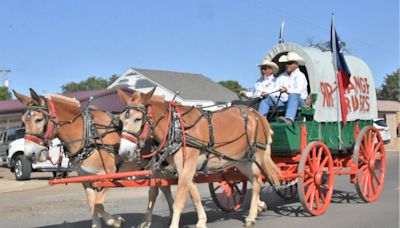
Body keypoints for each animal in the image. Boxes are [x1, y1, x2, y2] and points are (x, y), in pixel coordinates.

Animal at [13, 89, 173, 228]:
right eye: (23, 121)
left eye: (39, 119)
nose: (29, 153)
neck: (88, 136)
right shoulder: (85, 177)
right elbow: (92, 204)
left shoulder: (108, 175)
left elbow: (98, 204)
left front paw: (116, 221)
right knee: (164, 187)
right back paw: (171, 214)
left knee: (154, 192)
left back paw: (147, 222)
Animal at [116, 88, 282, 227]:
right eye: (121, 120)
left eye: (138, 119)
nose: (124, 153)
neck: (177, 127)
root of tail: (259, 116)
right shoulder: (183, 169)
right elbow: (192, 194)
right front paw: (202, 220)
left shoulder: (186, 167)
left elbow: (179, 200)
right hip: (241, 160)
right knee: (255, 181)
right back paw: (258, 207)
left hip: (256, 156)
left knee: (257, 182)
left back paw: (251, 216)